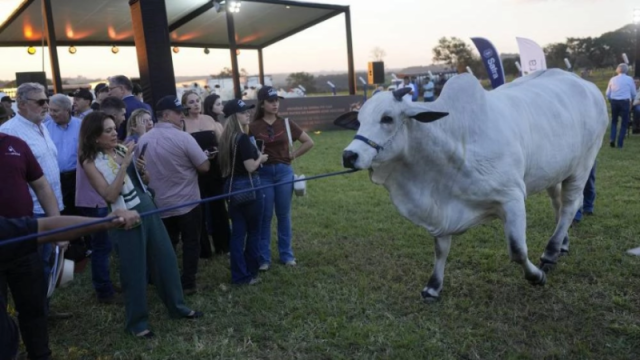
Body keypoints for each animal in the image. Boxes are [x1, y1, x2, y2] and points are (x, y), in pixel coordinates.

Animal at [338, 69, 608, 300]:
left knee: (571, 204)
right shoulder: (441, 207)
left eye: (387, 118)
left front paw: (536, 276)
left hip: (583, 164)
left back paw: (551, 253)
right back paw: (562, 243)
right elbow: (441, 249)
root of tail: (587, 85)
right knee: (558, 203)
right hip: (556, 169)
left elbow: (517, 250)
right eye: (359, 120)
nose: (349, 155)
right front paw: (433, 287)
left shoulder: (512, 197)